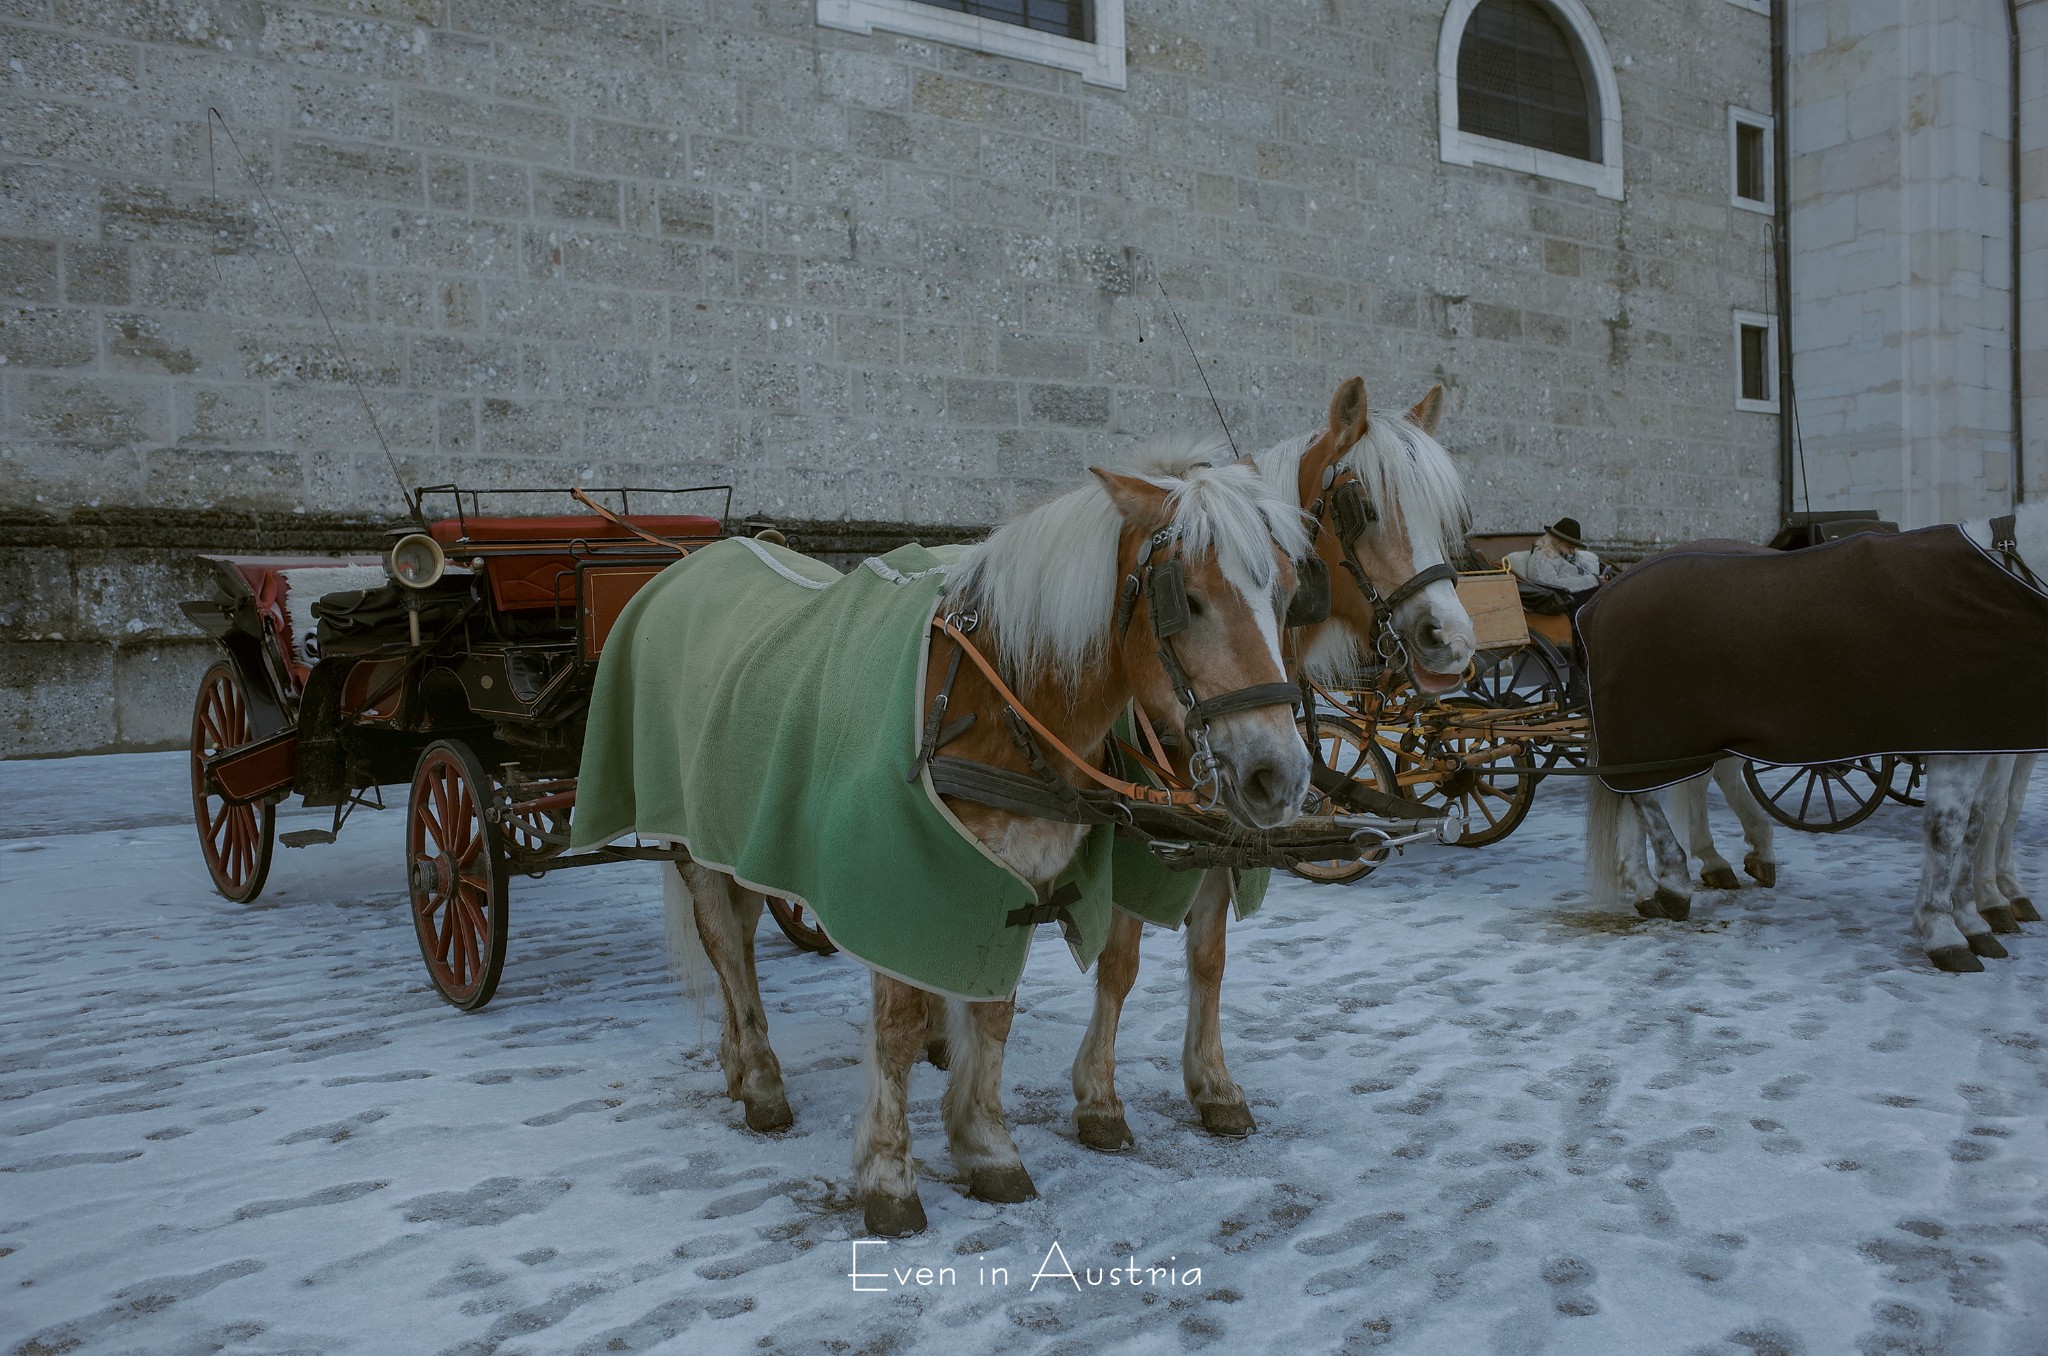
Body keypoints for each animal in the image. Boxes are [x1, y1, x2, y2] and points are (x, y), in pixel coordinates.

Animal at [634, 450, 1310, 1237]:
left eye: (1289, 593)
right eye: (1189, 600)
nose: (1280, 774)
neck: (987, 704)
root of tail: (701, 558)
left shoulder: (1014, 880)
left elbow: (996, 1010)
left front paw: (987, 1147)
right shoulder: (896, 875)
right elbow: (896, 1027)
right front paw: (889, 1175)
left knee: (739, 936)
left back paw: (740, 1064)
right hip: (694, 836)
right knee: (722, 941)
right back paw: (762, 1078)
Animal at [1064, 376, 1482, 1155]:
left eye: (1444, 515)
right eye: (1361, 507)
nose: (1453, 641)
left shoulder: (1225, 830)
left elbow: (1210, 956)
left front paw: (1213, 1084)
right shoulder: (1132, 832)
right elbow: (1120, 961)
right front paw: (1099, 1098)